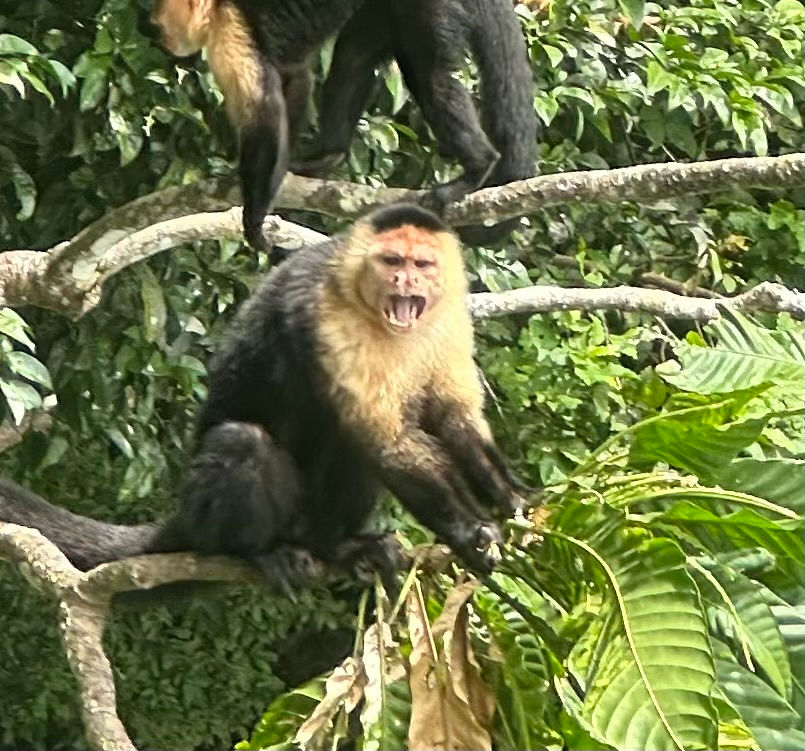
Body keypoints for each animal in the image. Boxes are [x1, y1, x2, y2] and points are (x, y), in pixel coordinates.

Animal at [0, 204, 530, 589]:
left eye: (422, 264)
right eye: (391, 262)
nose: (406, 281)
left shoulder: (450, 316)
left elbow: (452, 417)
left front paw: (510, 499)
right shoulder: (327, 316)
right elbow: (387, 439)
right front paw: (466, 531)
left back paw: (339, 547)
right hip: (209, 517)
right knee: (243, 441)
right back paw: (257, 552)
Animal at [150, 0, 366, 252]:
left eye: (159, 26)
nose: (160, 41)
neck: (218, 9)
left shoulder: (230, 30)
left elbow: (263, 118)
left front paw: (253, 219)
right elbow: (297, 78)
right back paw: (330, 157)